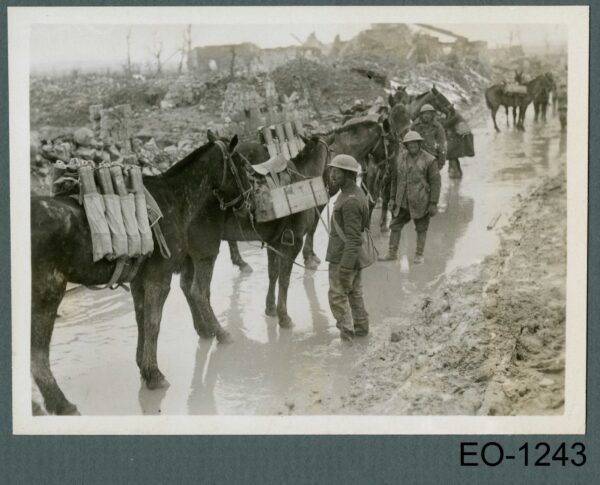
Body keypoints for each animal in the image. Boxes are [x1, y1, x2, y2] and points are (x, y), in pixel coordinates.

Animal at [29, 131, 251, 412]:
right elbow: (154, 323)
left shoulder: (139, 280)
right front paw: (154, 375)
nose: (248, 199)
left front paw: (143, 366)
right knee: (38, 354)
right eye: (241, 164)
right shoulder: (160, 278)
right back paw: (61, 404)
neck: (175, 200)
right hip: (48, 294)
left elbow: (141, 319)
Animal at [182, 135, 332, 328]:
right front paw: (284, 316)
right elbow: (284, 279)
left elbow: (273, 274)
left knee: (185, 286)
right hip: (204, 254)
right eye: (331, 152)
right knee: (198, 291)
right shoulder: (294, 242)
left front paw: (270, 308)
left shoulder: (273, 242)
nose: (330, 183)